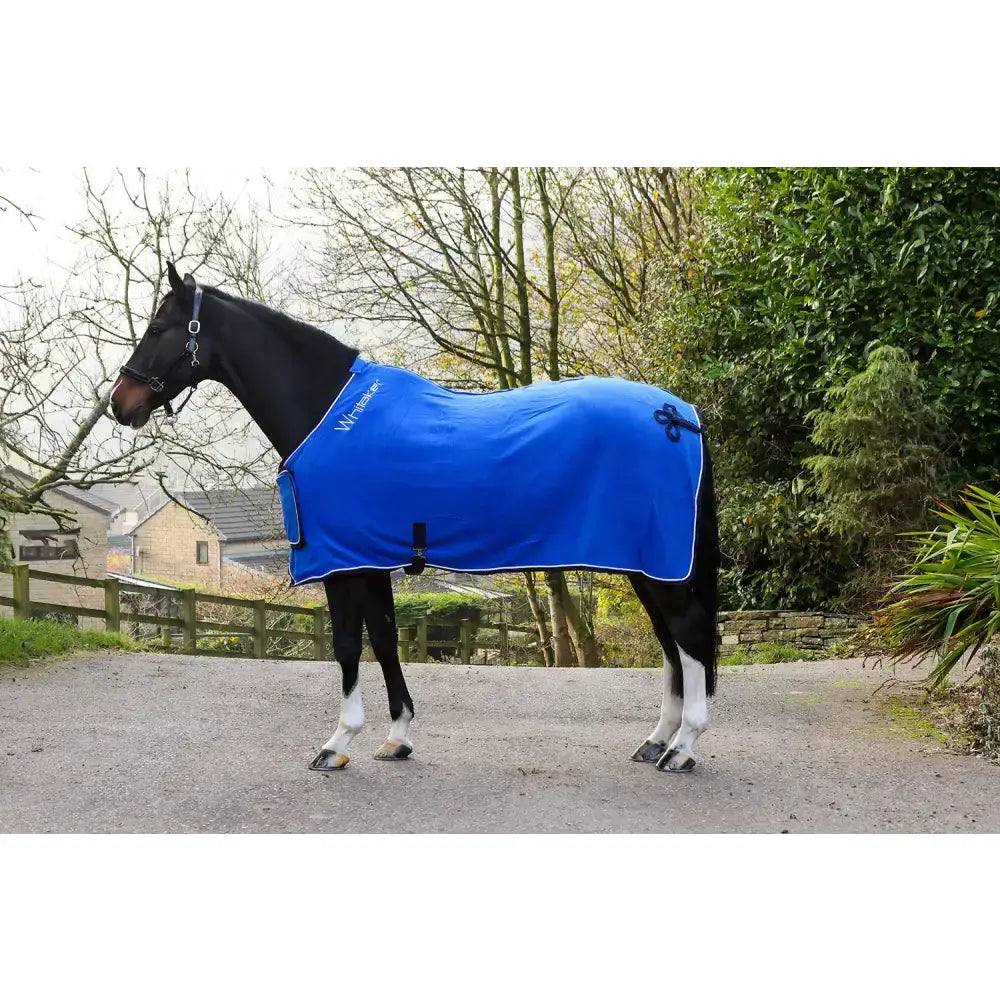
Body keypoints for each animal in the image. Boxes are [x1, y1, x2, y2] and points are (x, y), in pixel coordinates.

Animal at [110, 264, 718, 774]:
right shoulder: (369, 558)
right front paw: (397, 736)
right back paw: (656, 741)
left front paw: (337, 743)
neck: (328, 412)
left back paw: (683, 748)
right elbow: (383, 638)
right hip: (647, 564)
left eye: (160, 326)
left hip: (659, 563)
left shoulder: (342, 562)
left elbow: (347, 646)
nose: (121, 402)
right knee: (670, 642)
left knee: (686, 633)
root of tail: (677, 414)